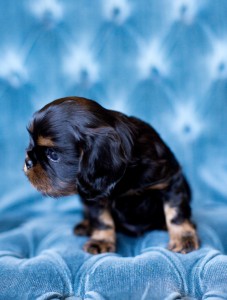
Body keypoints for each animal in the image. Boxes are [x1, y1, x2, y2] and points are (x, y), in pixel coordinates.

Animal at [24, 96, 200, 253]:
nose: (28, 161)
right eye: (31, 144)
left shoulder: (170, 181)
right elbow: (101, 219)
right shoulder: (94, 195)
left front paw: (184, 239)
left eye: (52, 154)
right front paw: (101, 241)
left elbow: (176, 213)